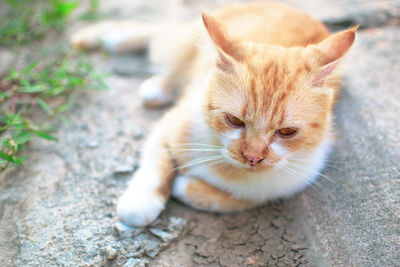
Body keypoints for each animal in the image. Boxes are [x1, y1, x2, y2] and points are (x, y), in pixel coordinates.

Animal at [71, 1, 356, 227]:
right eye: (234, 120)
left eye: (286, 131)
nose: (253, 157)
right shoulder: (172, 123)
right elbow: (156, 163)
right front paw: (141, 202)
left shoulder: (278, 188)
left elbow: (233, 199)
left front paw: (186, 186)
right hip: (182, 42)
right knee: (159, 35)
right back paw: (113, 41)